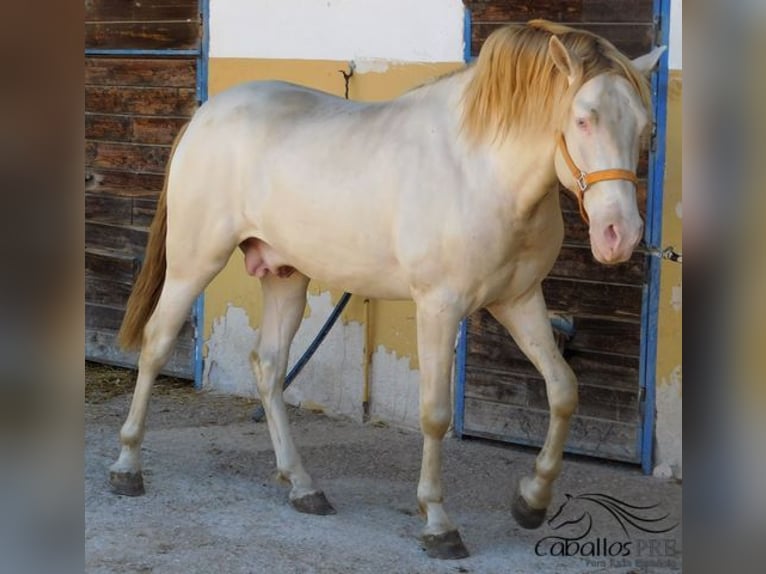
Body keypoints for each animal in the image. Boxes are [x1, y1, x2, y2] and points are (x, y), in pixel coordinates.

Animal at [108, 20, 664, 560]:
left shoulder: (519, 300)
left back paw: (303, 486)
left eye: (646, 128)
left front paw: (531, 500)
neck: (479, 170)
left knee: (268, 366)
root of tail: (206, 115)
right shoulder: (439, 306)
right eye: (584, 120)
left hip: (285, 276)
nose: (620, 235)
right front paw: (438, 523)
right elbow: (435, 414)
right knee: (156, 344)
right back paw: (127, 467)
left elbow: (563, 390)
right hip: (194, 262)